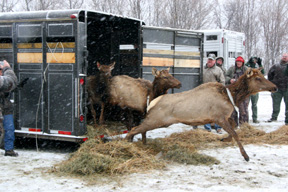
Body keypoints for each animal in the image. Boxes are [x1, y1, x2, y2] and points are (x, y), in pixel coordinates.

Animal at [125, 68, 276, 161]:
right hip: (156, 120)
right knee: (133, 129)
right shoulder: (219, 117)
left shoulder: (224, 118)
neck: (232, 96)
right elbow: (235, 133)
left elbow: (233, 130)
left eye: (261, 76)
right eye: (258, 78)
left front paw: (223, 139)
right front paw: (246, 156)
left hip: (156, 121)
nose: (274, 87)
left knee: (138, 129)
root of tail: (152, 101)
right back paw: (127, 145)